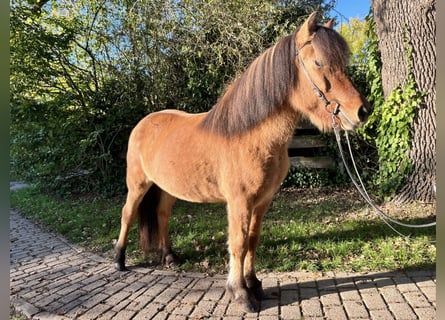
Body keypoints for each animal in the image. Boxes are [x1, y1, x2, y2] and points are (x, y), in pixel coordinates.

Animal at [113, 13, 368, 312]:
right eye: (318, 62)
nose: (362, 111)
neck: (250, 136)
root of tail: (144, 123)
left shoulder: (263, 201)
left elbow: (253, 241)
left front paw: (254, 284)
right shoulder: (239, 202)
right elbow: (238, 243)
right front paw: (240, 293)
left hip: (166, 188)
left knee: (162, 214)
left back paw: (169, 257)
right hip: (138, 185)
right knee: (127, 213)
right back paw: (119, 259)